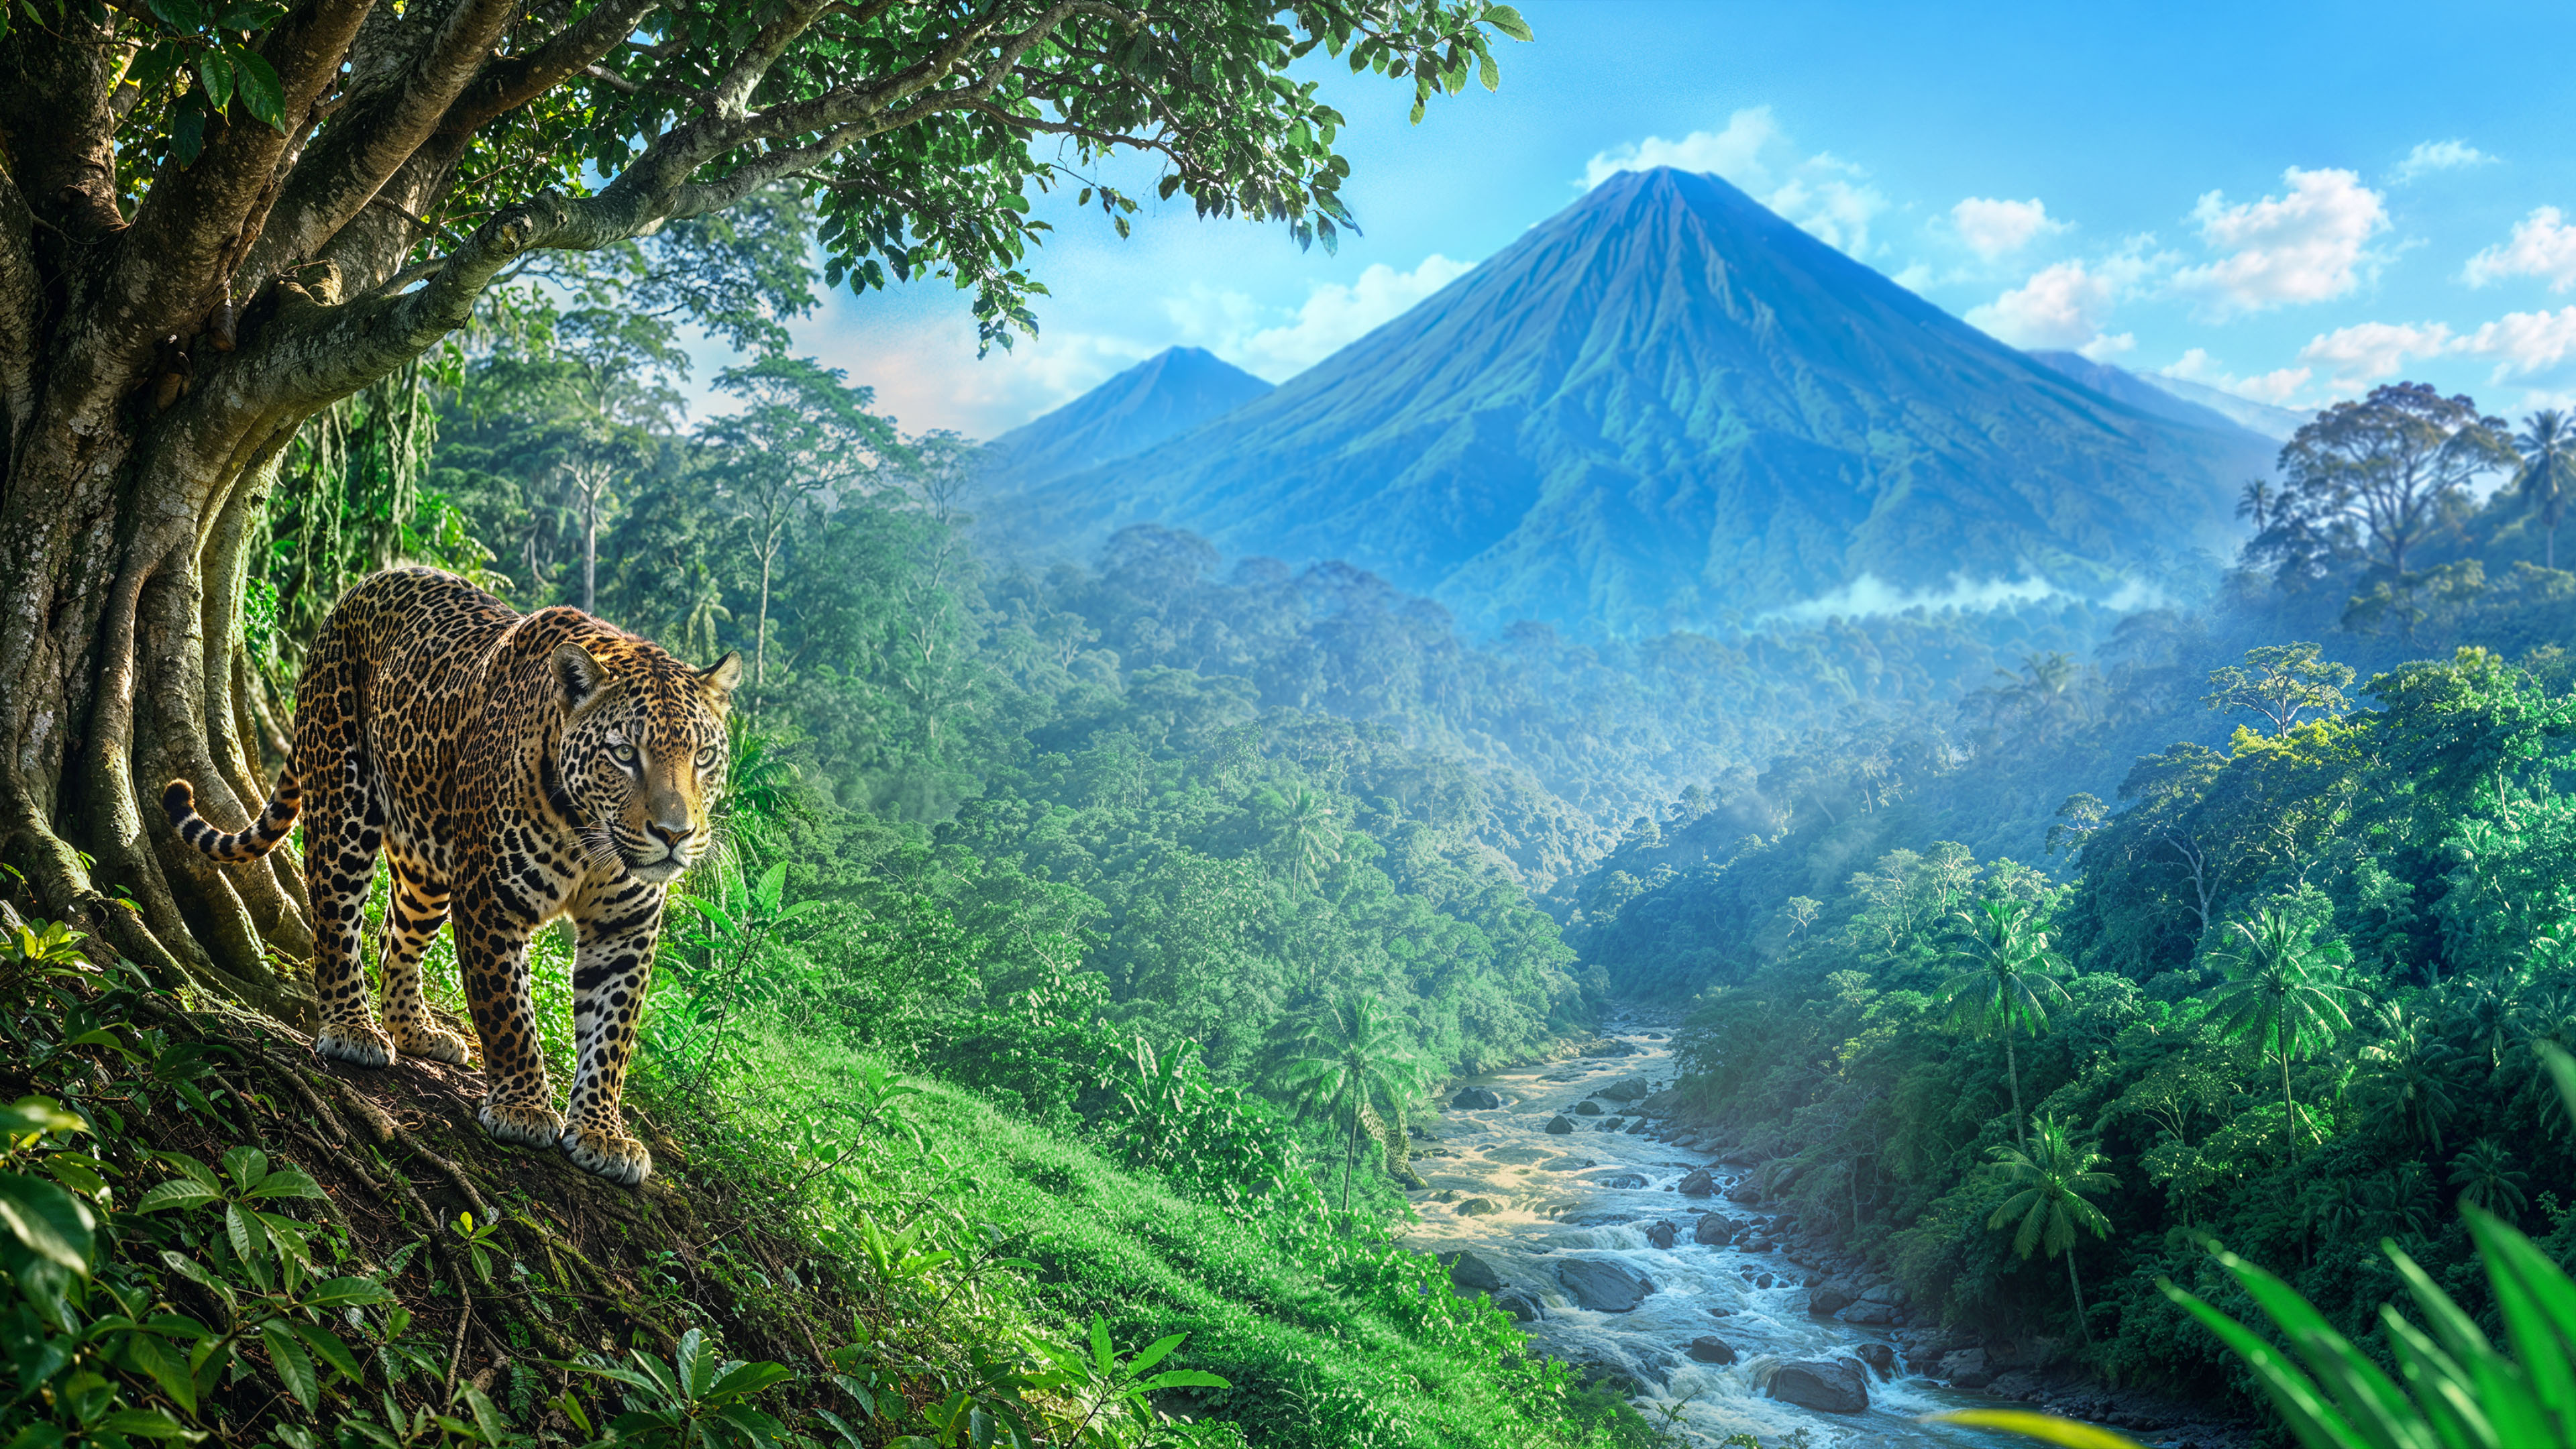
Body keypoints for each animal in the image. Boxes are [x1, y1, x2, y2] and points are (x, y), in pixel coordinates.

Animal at [165, 565, 739, 1186]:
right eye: (625, 754)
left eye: (704, 758)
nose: (675, 834)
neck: (591, 840)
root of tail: (367, 583)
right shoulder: (492, 899)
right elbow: (508, 1012)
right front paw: (523, 1107)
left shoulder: (626, 926)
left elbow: (613, 1033)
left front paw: (602, 1133)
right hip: (345, 801)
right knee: (336, 921)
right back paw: (351, 1028)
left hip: (427, 865)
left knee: (395, 937)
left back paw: (415, 1029)